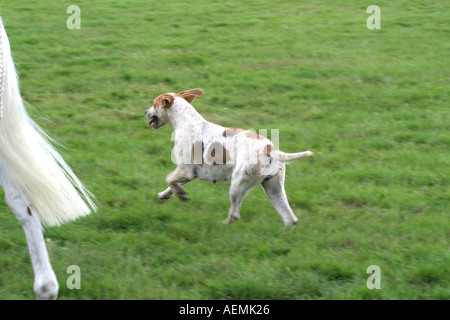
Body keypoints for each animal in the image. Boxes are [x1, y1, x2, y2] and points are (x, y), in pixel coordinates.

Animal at [145, 89, 312, 226]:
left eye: (154, 104)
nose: (145, 111)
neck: (187, 121)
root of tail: (270, 148)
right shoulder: (189, 174)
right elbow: (171, 186)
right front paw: (165, 195)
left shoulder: (185, 171)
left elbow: (169, 179)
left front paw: (181, 194)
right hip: (274, 190)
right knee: (291, 219)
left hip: (237, 185)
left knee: (235, 214)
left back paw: (222, 225)